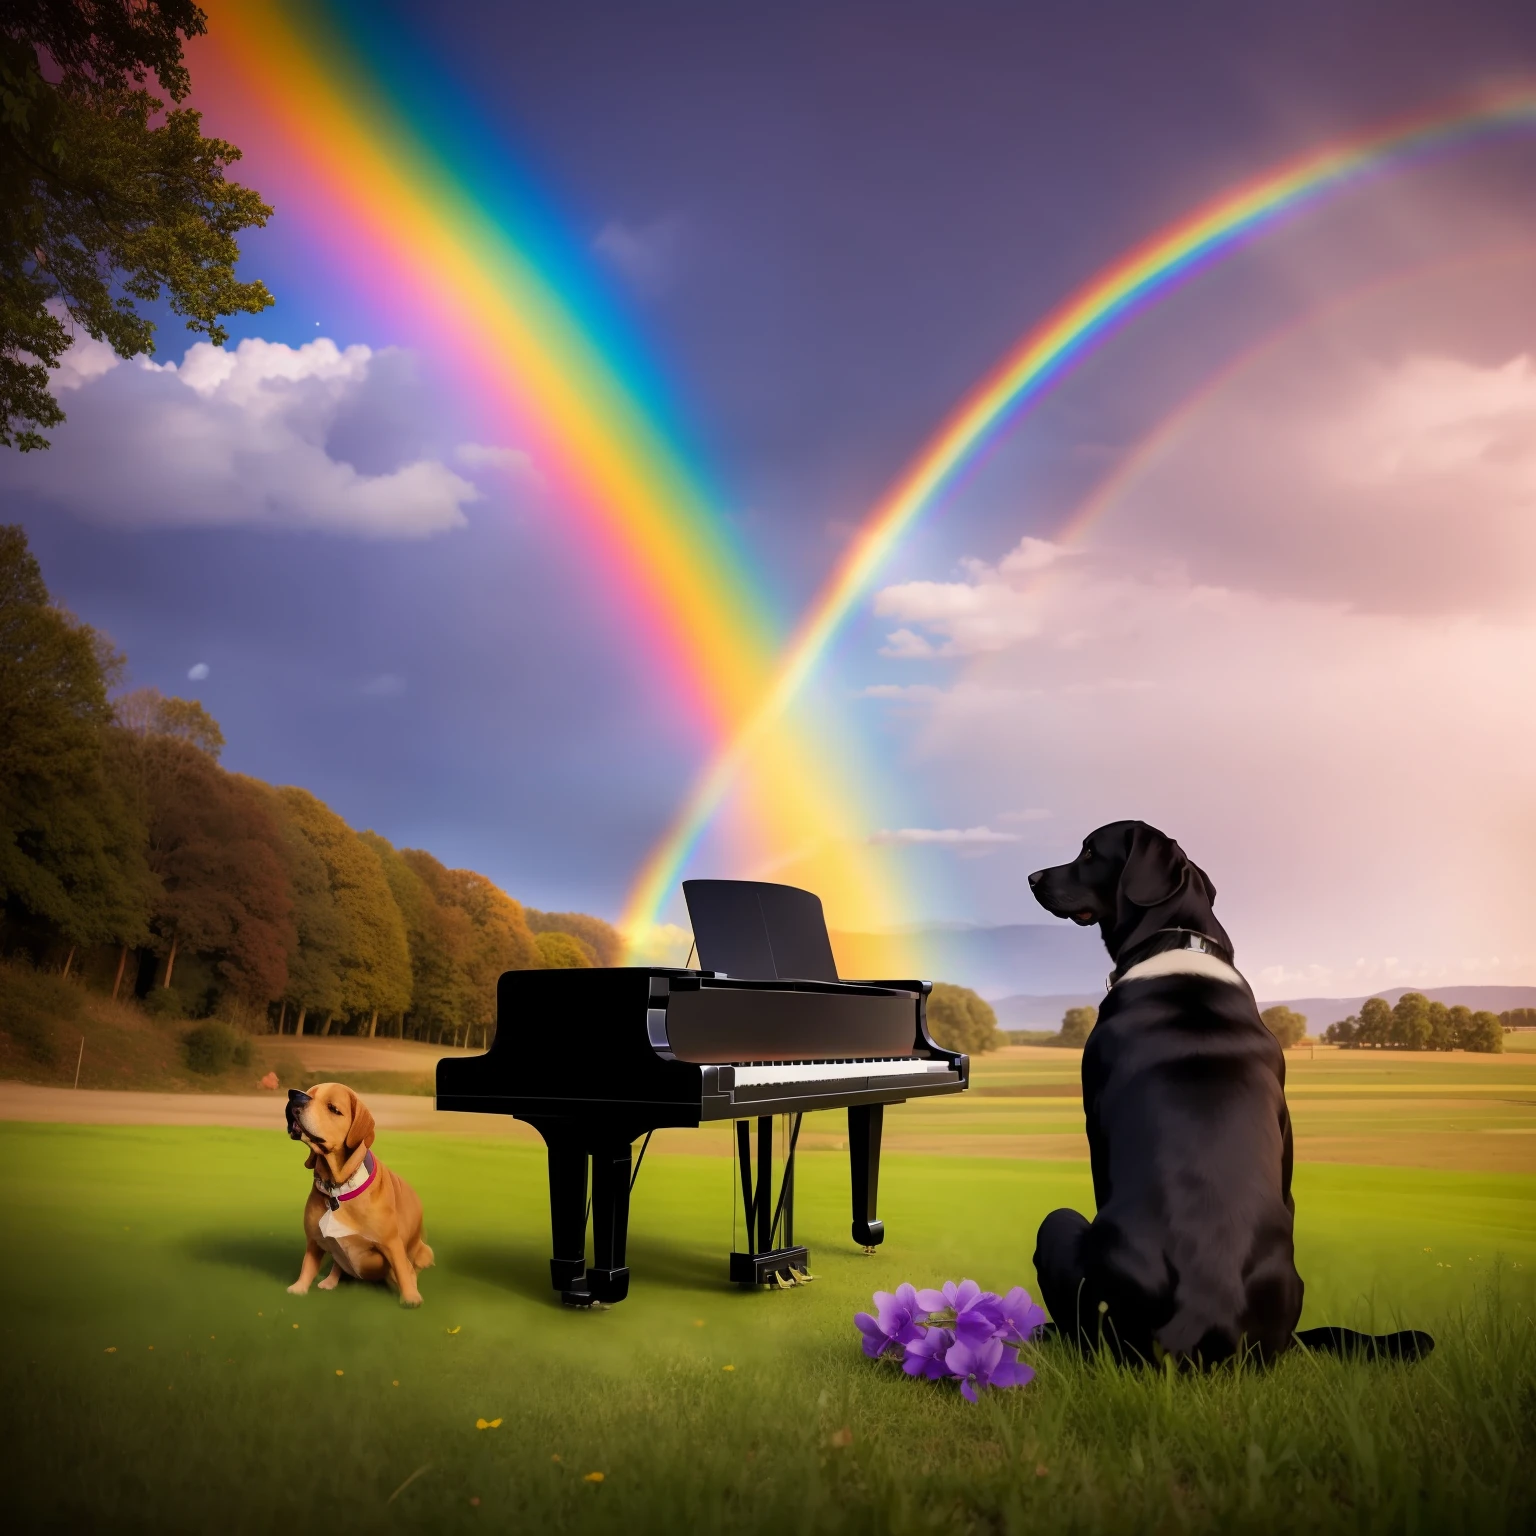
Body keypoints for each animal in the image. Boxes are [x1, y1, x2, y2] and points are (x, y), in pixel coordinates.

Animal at [285, 1081, 433, 1308]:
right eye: (308, 1093)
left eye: (333, 1108)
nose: (295, 1096)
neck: (337, 1189)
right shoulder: (314, 1240)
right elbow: (307, 1265)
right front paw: (300, 1287)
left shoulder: (392, 1243)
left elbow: (402, 1270)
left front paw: (410, 1297)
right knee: (337, 1265)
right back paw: (329, 1281)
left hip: (425, 1252)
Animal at [1026, 823, 1431, 1363]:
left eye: (1089, 851)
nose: (1032, 877)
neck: (1174, 940)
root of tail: (1199, 1314)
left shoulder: (1096, 1125)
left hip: (1057, 1226)